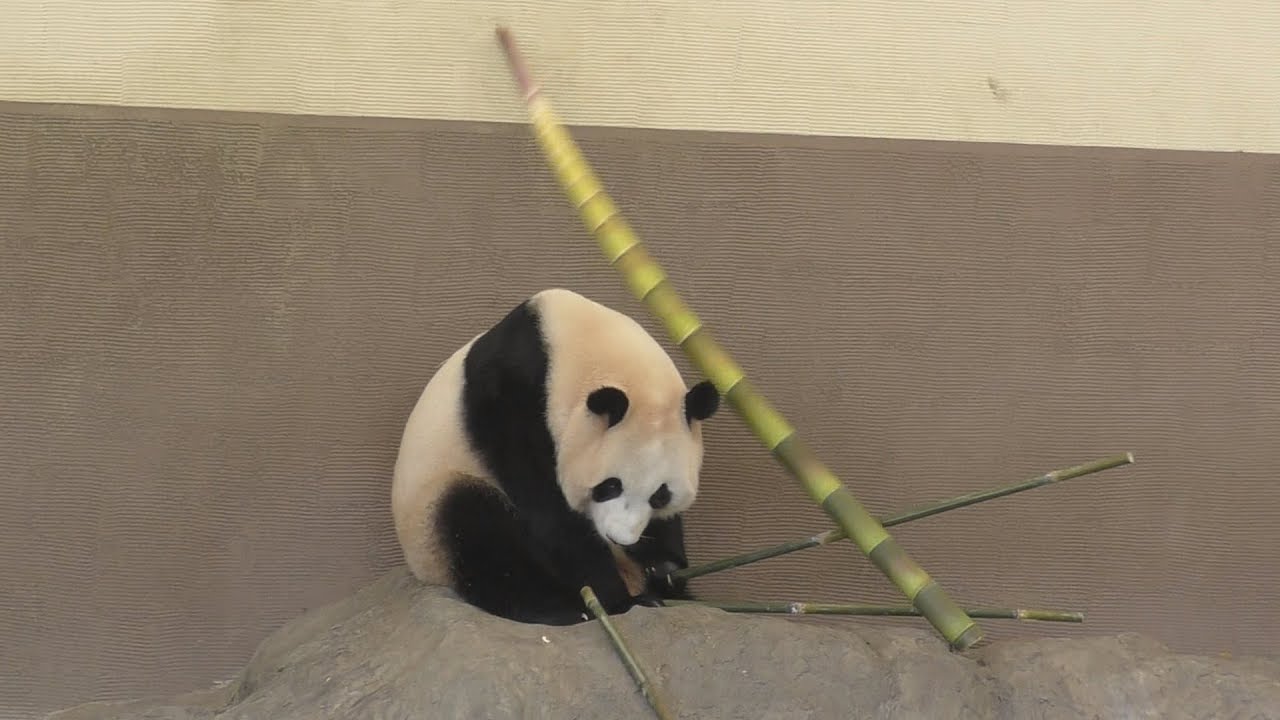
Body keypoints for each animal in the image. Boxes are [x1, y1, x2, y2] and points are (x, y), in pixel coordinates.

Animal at [390, 287, 721, 625]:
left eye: (661, 495)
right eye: (610, 486)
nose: (620, 539)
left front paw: (665, 569)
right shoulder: (511, 404)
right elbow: (550, 514)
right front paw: (618, 599)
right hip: (432, 511)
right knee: (477, 531)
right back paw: (562, 607)